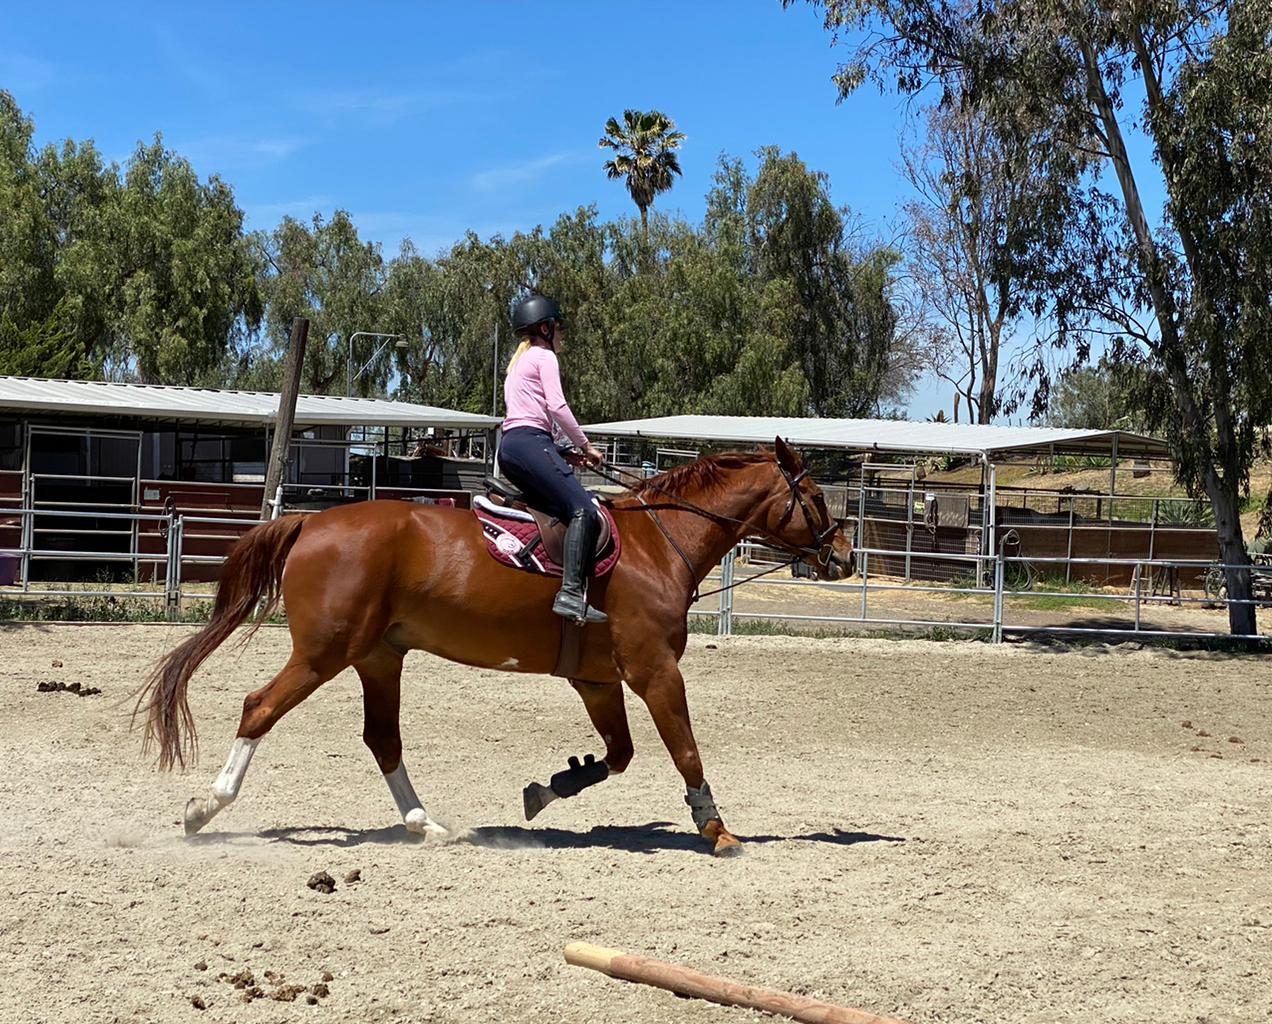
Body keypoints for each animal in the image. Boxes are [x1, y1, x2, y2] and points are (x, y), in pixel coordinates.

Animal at [139, 437, 849, 854]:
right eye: (815, 496)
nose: (842, 555)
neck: (658, 544)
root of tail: (311, 522)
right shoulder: (654, 671)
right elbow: (685, 749)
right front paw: (717, 829)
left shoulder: (598, 679)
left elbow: (618, 755)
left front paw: (551, 788)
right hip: (323, 654)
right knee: (259, 708)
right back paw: (203, 809)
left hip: (378, 657)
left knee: (382, 739)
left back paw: (425, 824)